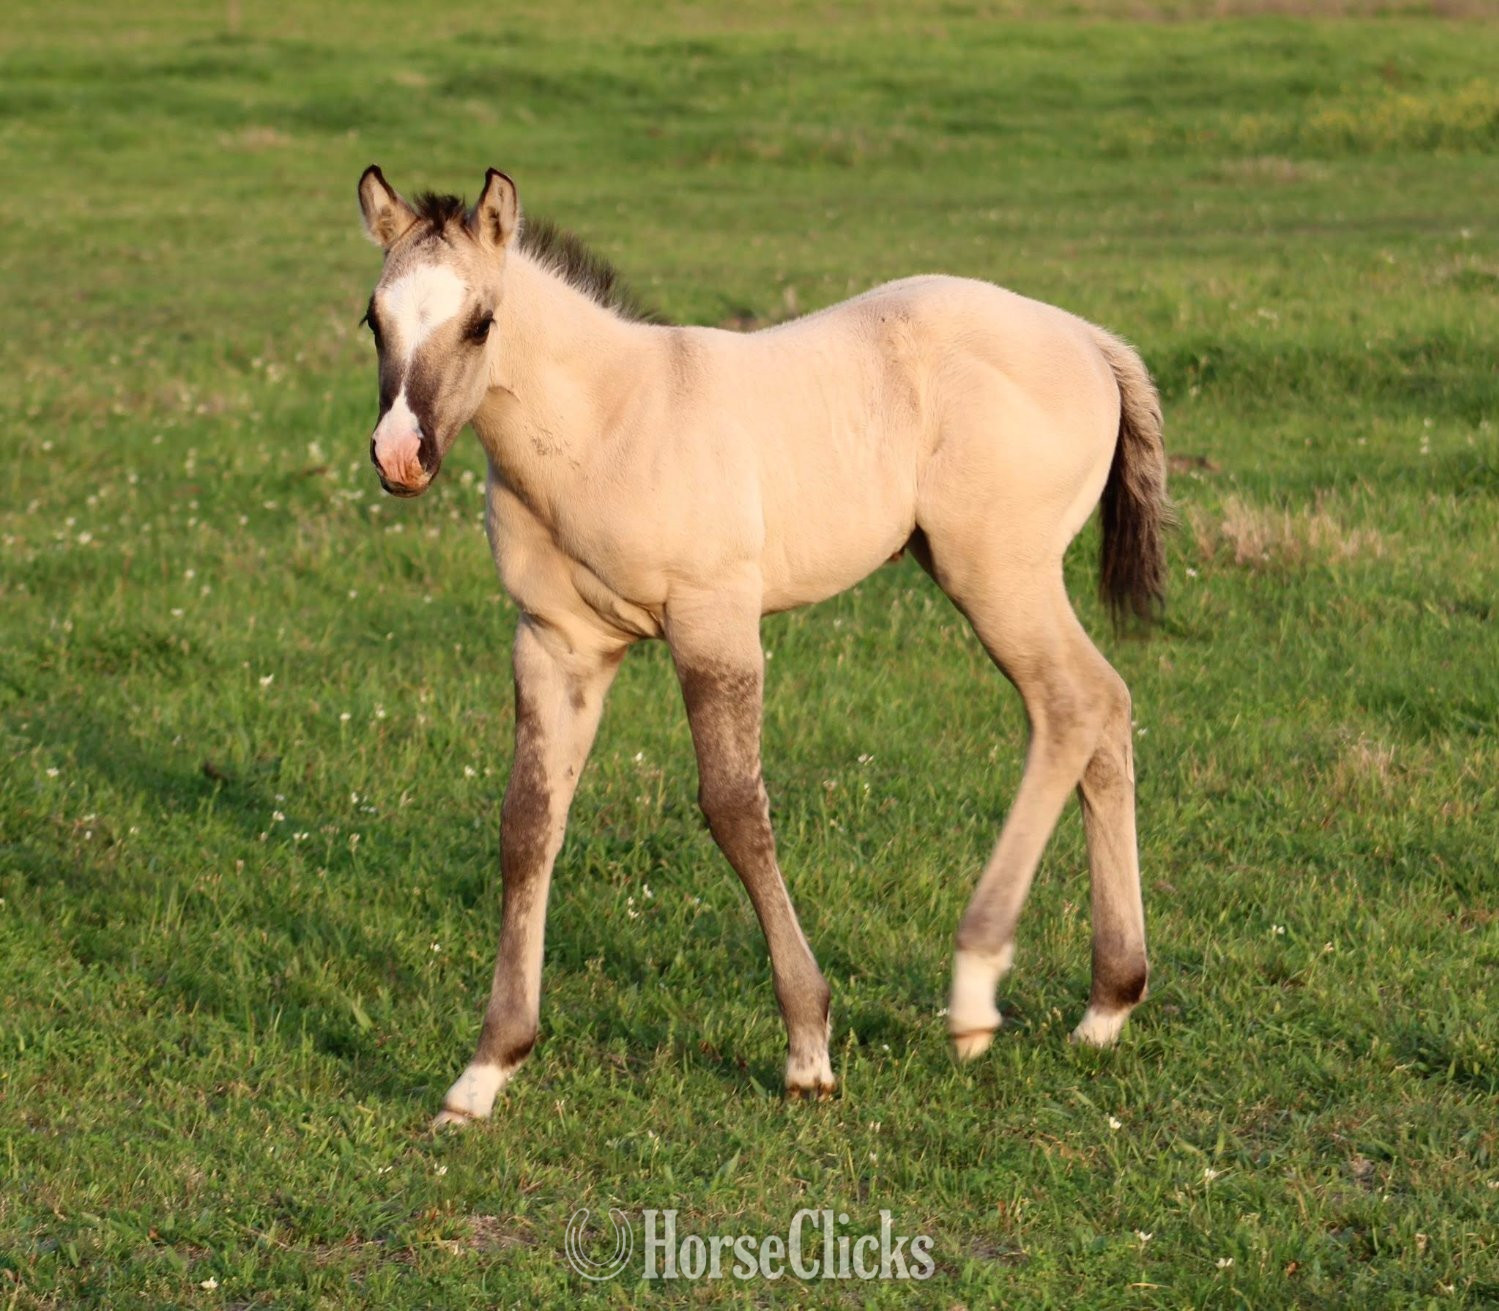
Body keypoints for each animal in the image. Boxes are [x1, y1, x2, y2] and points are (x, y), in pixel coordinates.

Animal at [355, 166, 1169, 1127]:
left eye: (481, 320)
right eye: (373, 319)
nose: (400, 455)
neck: (605, 424)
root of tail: (1087, 338)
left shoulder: (715, 620)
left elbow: (735, 810)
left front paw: (809, 1049)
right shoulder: (557, 644)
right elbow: (528, 825)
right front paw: (485, 1071)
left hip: (998, 572)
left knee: (1071, 705)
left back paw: (976, 990)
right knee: (1105, 709)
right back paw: (1107, 1004)